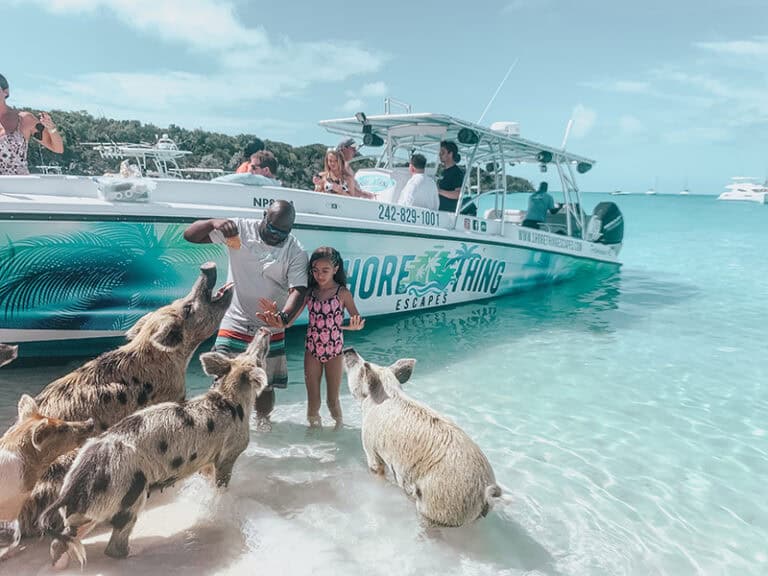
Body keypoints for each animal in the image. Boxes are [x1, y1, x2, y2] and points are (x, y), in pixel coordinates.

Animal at [42, 328, 272, 568]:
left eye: (244, 353)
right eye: (257, 360)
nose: (264, 330)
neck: (230, 399)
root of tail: (73, 486)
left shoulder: (207, 461)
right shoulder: (229, 453)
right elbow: (221, 484)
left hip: (88, 509)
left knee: (64, 538)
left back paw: (60, 563)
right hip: (130, 496)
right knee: (114, 545)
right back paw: (138, 552)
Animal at [344, 346, 500, 528]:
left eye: (361, 367)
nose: (349, 349)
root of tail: (485, 491)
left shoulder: (369, 443)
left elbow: (376, 468)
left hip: (441, 501)